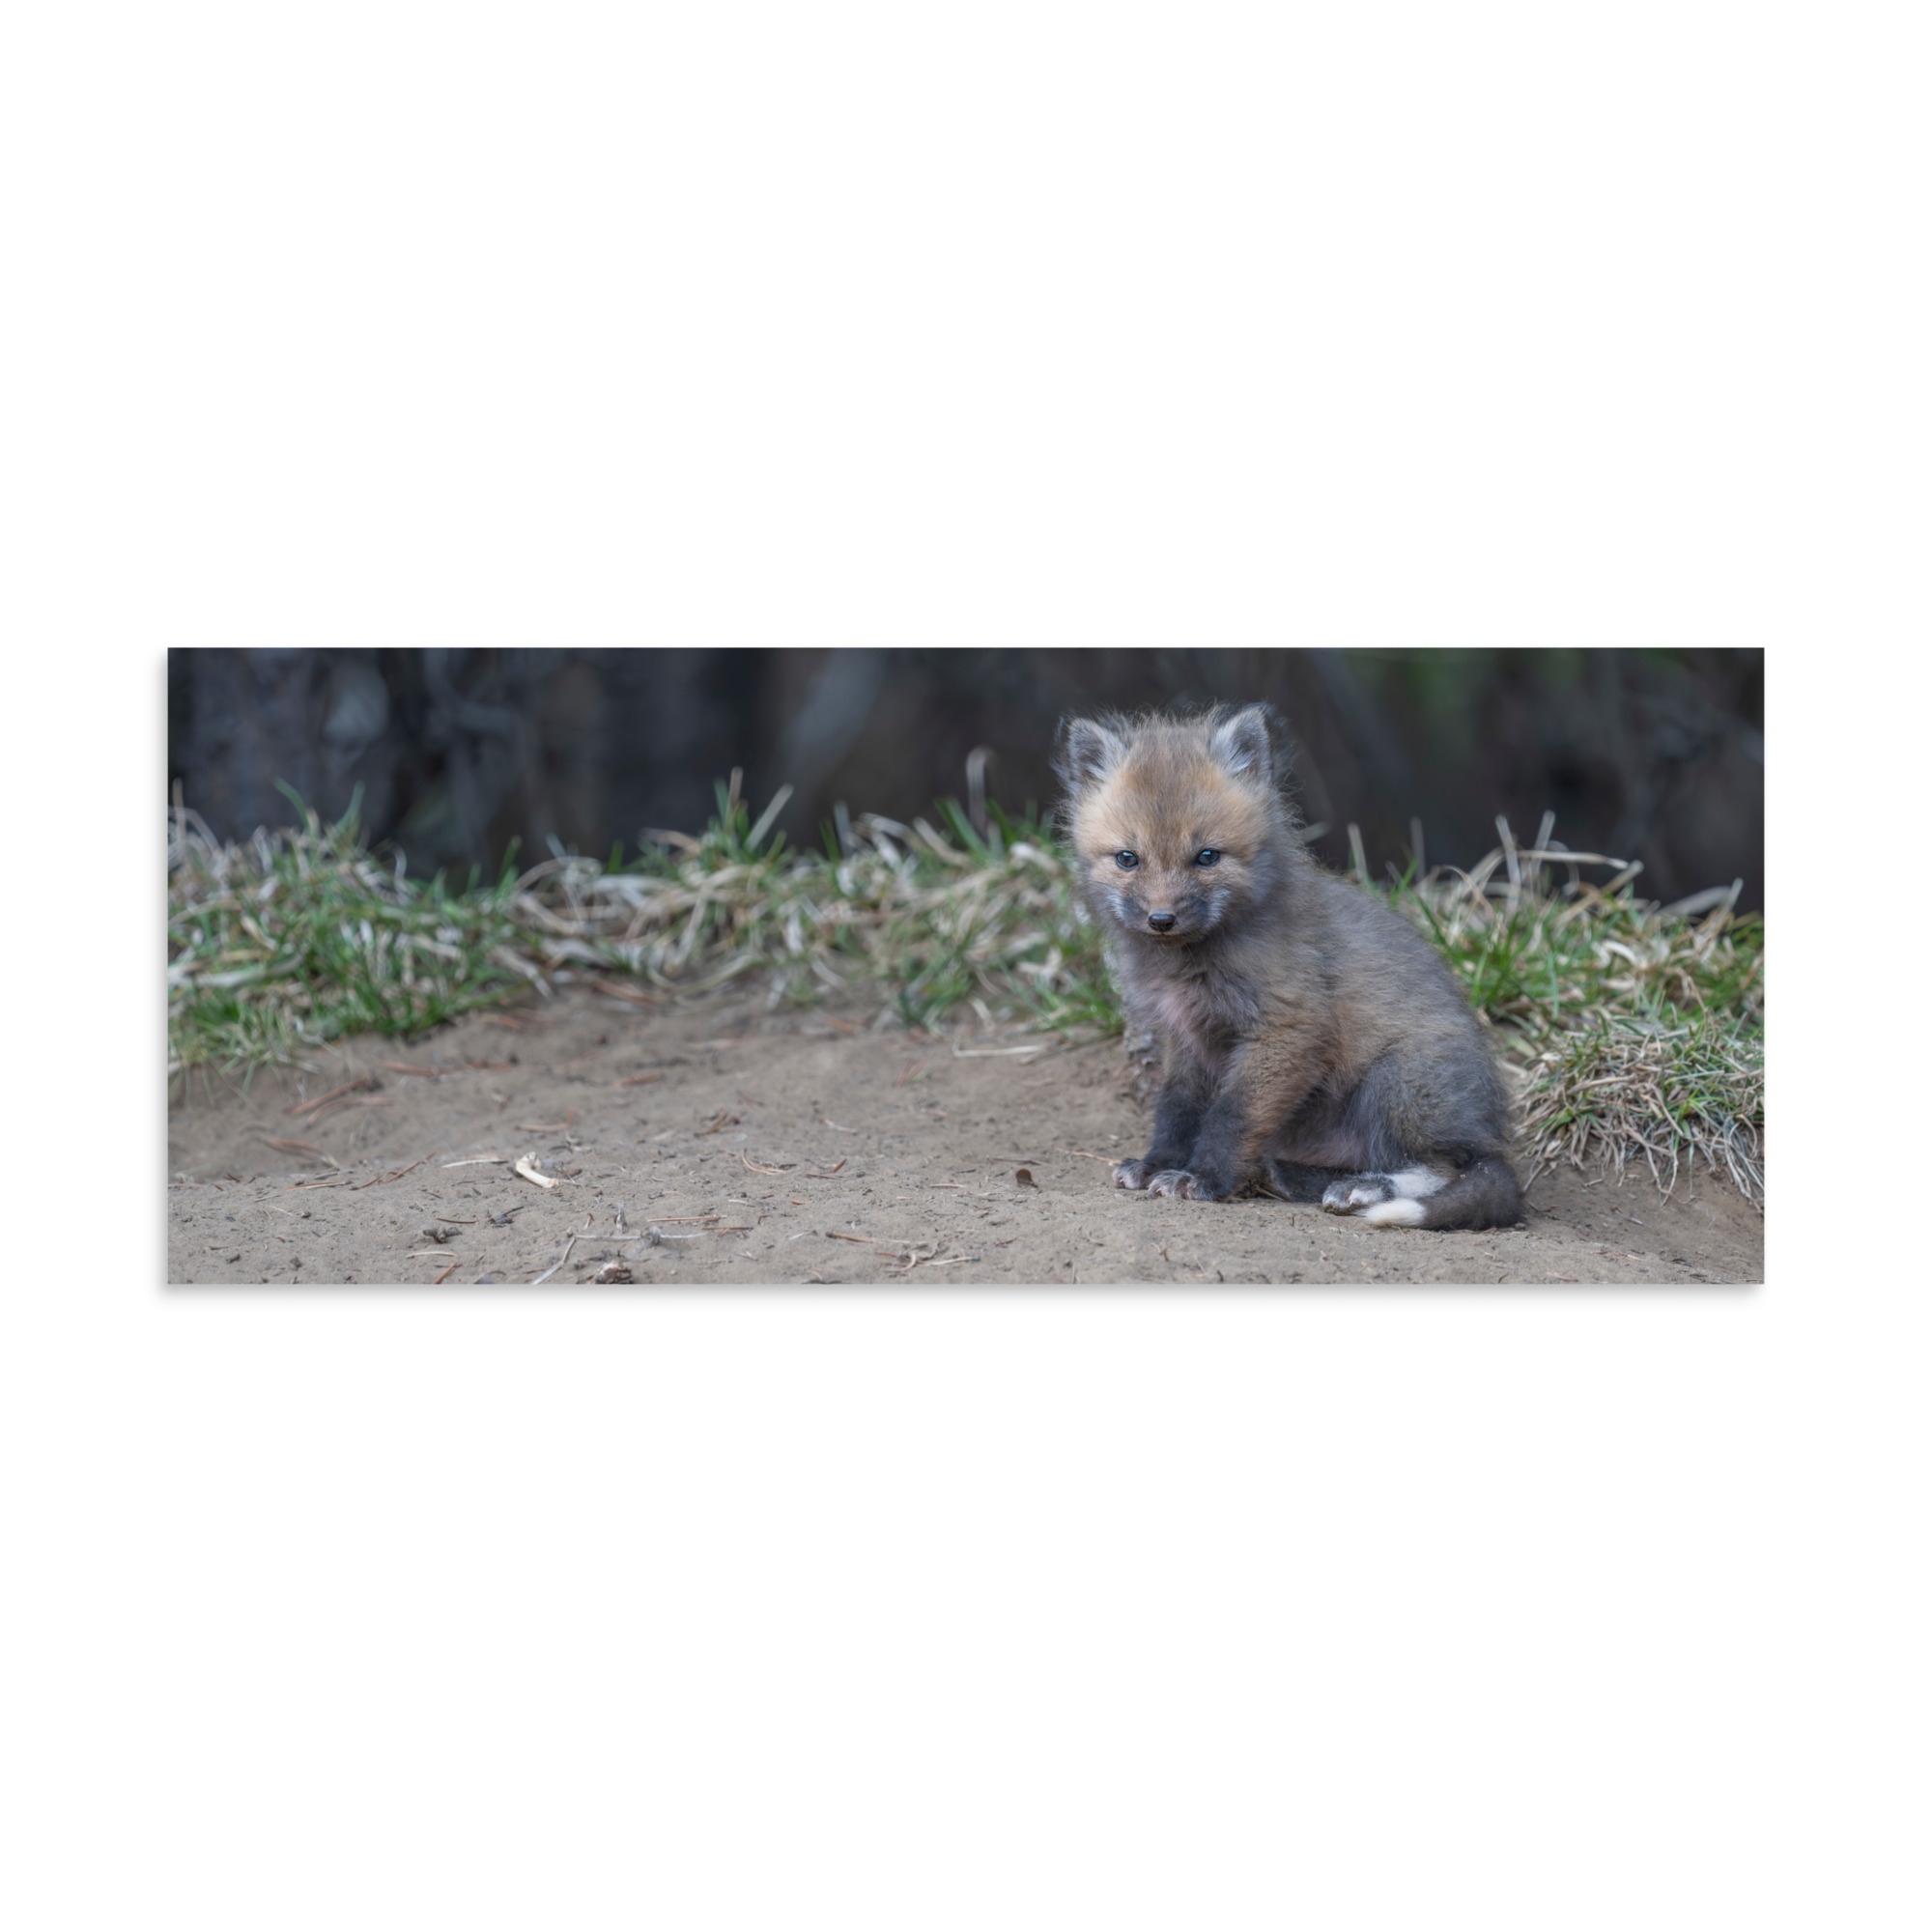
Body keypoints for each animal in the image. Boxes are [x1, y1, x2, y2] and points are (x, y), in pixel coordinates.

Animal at [1052, 701, 1522, 1230]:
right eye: (1128, 858)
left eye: (1207, 857)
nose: (1162, 919)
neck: (1189, 965)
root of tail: (1490, 1130)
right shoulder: (1186, 1038)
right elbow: (1176, 1110)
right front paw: (1158, 1164)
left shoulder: (1286, 1028)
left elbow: (1230, 1116)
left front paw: (1204, 1179)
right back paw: (1293, 1176)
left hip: (1396, 1083)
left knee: (1450, 1166)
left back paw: (1365, 1188)